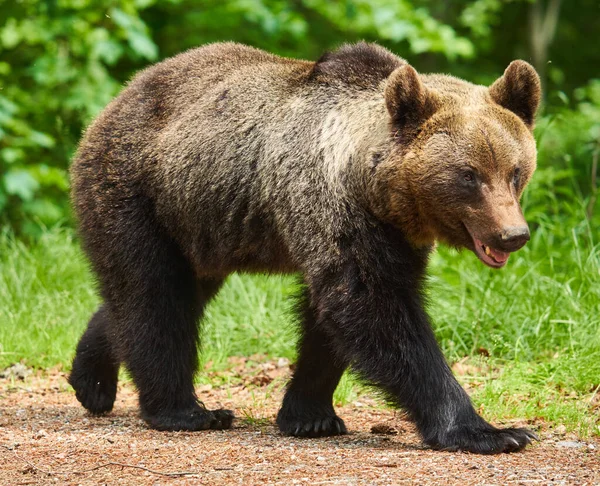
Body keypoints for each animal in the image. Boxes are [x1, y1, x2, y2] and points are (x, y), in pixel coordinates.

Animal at [68, 41, 540, 456]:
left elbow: (331, 318)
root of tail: (115, 101)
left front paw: (309, 415)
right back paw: (184, 410)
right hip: (140, 193)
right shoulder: (334, 209)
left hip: (199, 227)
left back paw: (91, 379)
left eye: (516, 170)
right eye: (469, 175)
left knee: (164, 294)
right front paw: (491, 431)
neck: (377, 191)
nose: (512, 234)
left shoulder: (389, 236)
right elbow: (375, 309)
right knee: (154, 295)